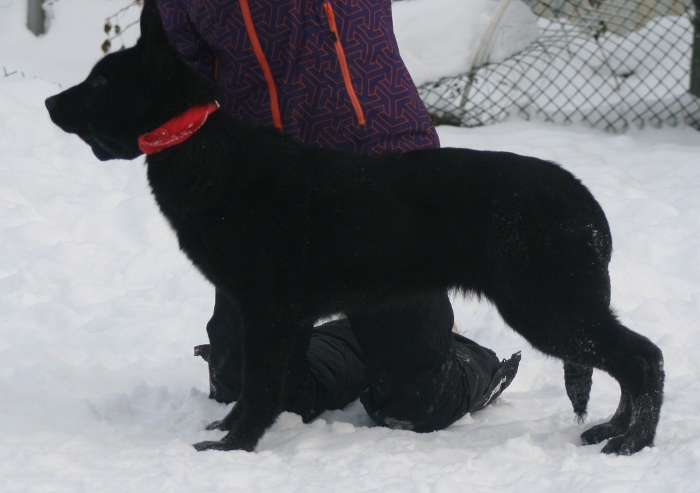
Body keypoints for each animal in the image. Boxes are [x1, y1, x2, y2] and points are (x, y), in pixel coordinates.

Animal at [45, 0, 660, 454]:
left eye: (100, 84)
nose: (49, 102)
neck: (200, 143)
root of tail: (583, 199)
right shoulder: (272, 316)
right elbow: (258, 388)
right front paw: (229, 431)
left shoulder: (269, 311)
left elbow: (261, 391)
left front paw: (234, 448)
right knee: (627, 362)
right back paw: (611, 430)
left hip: (547, 307)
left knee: (643, 358)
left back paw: (632, 443)